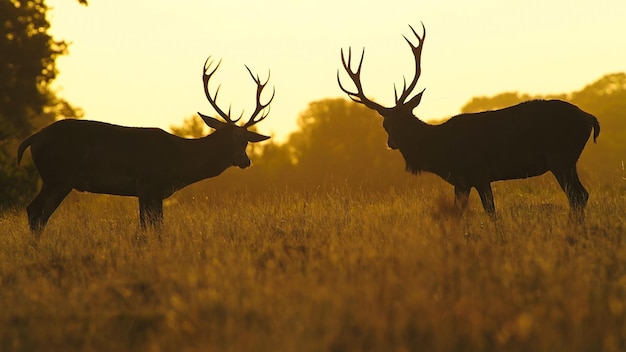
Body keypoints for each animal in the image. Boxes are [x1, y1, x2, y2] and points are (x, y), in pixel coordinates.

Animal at [14, 56, 272, 232]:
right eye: (232, 139)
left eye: (246, 140)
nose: (246, 161)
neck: (180, 163)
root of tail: (34, 138)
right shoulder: (148, 184)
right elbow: (151, 228)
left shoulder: (151, 192)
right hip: (58, 176)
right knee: (35, 211)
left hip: (56, 179)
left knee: (38, 212)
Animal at [338, 23, 596, 220]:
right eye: (386, 124)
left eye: (406, 120)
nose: (391, 142)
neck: (441, 152)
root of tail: (591, 118)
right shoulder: (461, 181)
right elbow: (458, 213)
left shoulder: (478, 172)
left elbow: (490, 212)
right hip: (566, 160)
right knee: (580, 195)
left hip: (561, 157)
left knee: (578, 196)